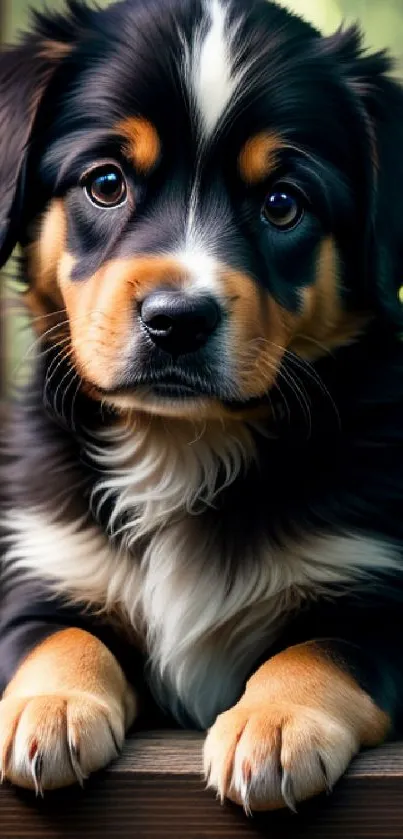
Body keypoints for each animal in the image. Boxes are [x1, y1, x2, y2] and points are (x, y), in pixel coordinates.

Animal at [0, 0, 403, 812]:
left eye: (282, 203)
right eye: (106, 182)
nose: (177, 320)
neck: (183, 445)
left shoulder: (377, 595)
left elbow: (319, 648)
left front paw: (276, 724)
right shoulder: (46, 566)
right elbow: (56, 636)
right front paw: (50, 706)